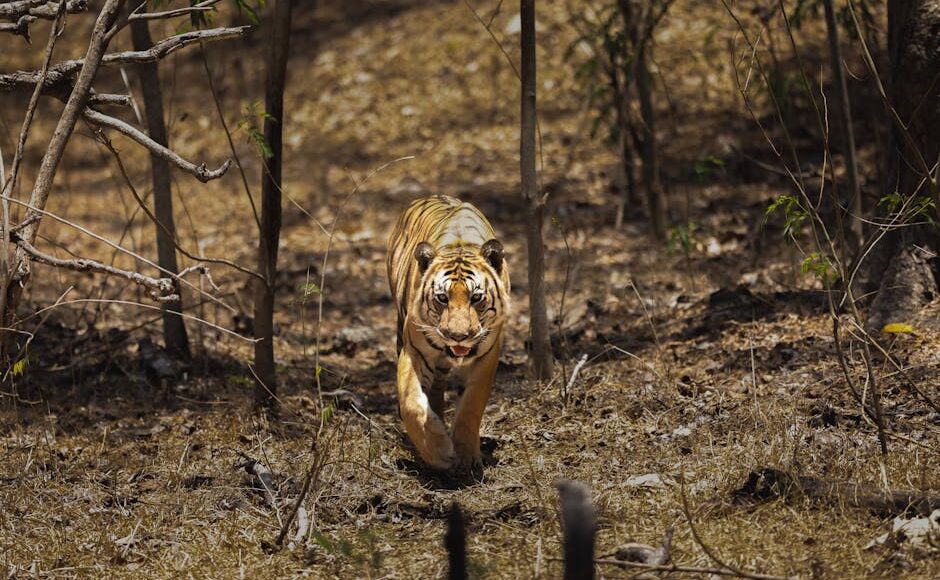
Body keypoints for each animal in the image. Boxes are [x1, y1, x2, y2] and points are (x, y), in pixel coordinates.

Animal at [386, 195, 510, 471]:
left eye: (476, 298)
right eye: (442, 298)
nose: (458, 336)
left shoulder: (487, 356)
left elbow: (471, 405)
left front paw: (465, 454)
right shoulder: (415, 352)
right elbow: (412, 402)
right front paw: (439, 452)